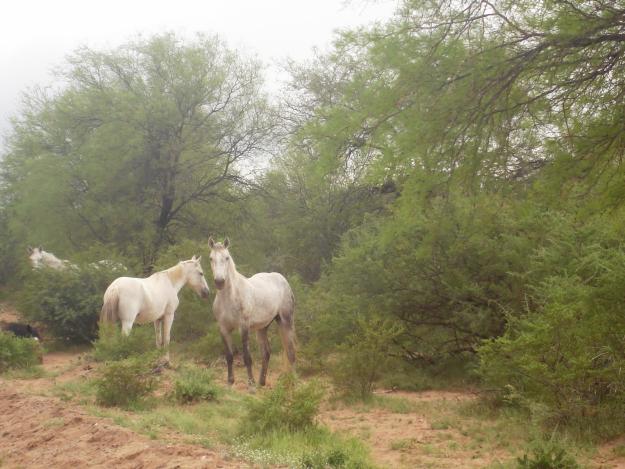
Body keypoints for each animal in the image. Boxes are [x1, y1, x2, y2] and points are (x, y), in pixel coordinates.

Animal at [207, 238, 294, 388]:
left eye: (227, 257)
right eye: (211, 258)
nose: (219, 282)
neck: (230, 297)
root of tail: (283, 280)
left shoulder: (244, 327)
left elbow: (247, 357)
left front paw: (251, 383)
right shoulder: (223, 329)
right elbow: (229, 356)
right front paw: (230, 381)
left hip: (285, 321)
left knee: (290, 352)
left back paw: (293, 381)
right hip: (262, 328)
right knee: (266, 353)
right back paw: (262, 382)